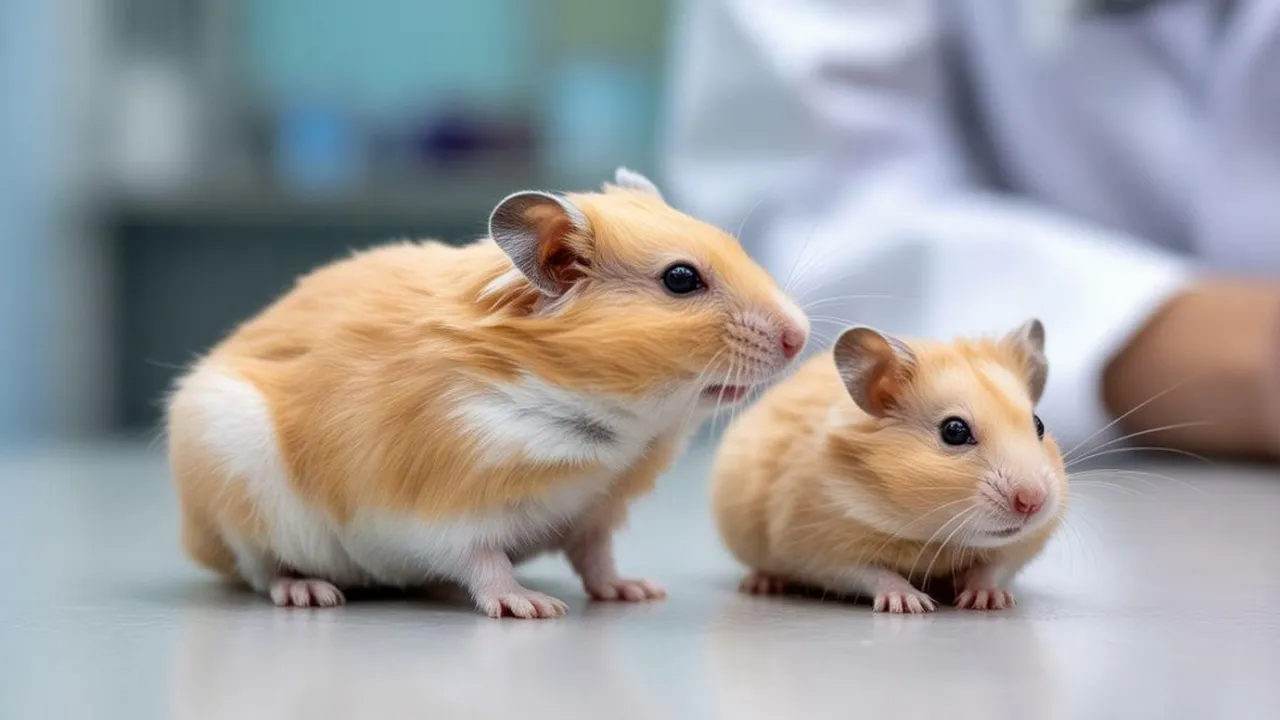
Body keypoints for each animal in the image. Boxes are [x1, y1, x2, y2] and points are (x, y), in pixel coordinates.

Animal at [167, 167, 809, 618]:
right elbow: (483, 560)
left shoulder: (596, 510)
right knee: (258, 568)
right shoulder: (446, 504)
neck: (618, 426)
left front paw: (638, 591)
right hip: (231, 475)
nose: (800, 336)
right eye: (681, 279)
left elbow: (596, 557)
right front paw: (533, 607)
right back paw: (310, 592)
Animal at [711, 320, 1065, 613]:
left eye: (1039, 425)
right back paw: (762, 584)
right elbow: (871, 573)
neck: (933, 536)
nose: (1032, 503)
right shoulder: (820, 549)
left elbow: (990, 568)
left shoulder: (1017, 547)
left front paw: (989, 600)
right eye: (954, 431)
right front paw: (913, 603)